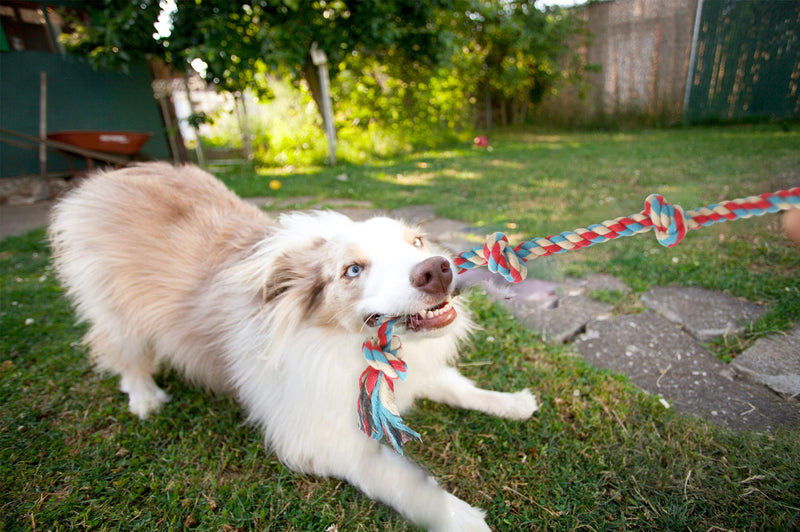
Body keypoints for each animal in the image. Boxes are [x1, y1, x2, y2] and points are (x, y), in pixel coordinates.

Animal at [48, 163, 536, 532]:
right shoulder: (315, 437)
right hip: (117, 311)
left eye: (415, 242)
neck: (348, 342)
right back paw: (144, 396)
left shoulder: (415, 373)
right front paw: (458, 516)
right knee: (119, 351)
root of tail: (108, 175)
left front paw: (512, 402)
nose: (437, 269)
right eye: (352, 270)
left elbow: (460, 388)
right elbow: (400, 478)